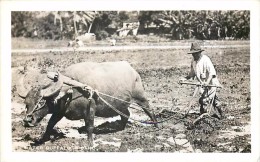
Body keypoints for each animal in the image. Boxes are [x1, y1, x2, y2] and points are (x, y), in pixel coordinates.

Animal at [17, 61, 158, 146]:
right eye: (26, 103)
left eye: (41, 101)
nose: (27, 120)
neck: (71, 91)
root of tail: (133, 71)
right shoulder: (59, 111)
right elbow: (50, 125)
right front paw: (42, 139)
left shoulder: (90, 108)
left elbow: (90, 125)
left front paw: (90, 143)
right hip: (120, 105)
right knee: (126, 114)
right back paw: (120, 128)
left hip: (141, 97)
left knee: (149, 110)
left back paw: (156, 126)